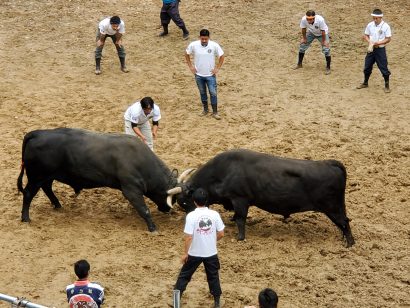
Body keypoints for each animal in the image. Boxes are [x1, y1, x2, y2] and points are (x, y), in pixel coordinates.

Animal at [17, 127, 179, 231]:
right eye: (173, 197)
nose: (167, 209)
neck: (140, 160)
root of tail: (37, 133)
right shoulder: (131, 189)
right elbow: (144, 209)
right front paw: (152, 227)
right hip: (36, 177)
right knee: (28, 194)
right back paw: (26, 218)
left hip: (46, 177)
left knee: (47, 188)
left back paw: (57, 205)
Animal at [170, 149, 356, 248]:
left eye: (184, 201)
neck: (224, 171)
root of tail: (330, 163)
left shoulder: (240, 199)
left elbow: (241, 219)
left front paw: (240, 237)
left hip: (332, 207)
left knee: (345, 223)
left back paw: (350, 244)